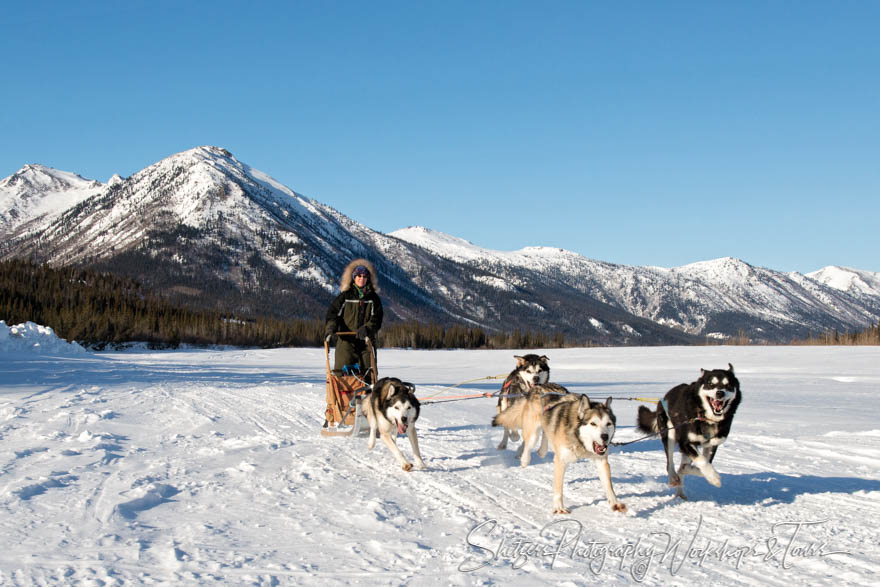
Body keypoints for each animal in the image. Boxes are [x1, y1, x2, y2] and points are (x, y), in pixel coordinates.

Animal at [640, 366, 744, 498]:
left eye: (728, 385)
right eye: (710, 384)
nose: (720, 393)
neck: (706, 418)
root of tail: (664, 398)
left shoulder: (712, 444)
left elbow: (704, 464)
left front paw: (691, 470)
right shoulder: (686, 443)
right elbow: (702, 461)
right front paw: (714, 478)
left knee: (682, 467)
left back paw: (680, 492)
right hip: (669, 434)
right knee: (669, 463)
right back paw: (673, 478)